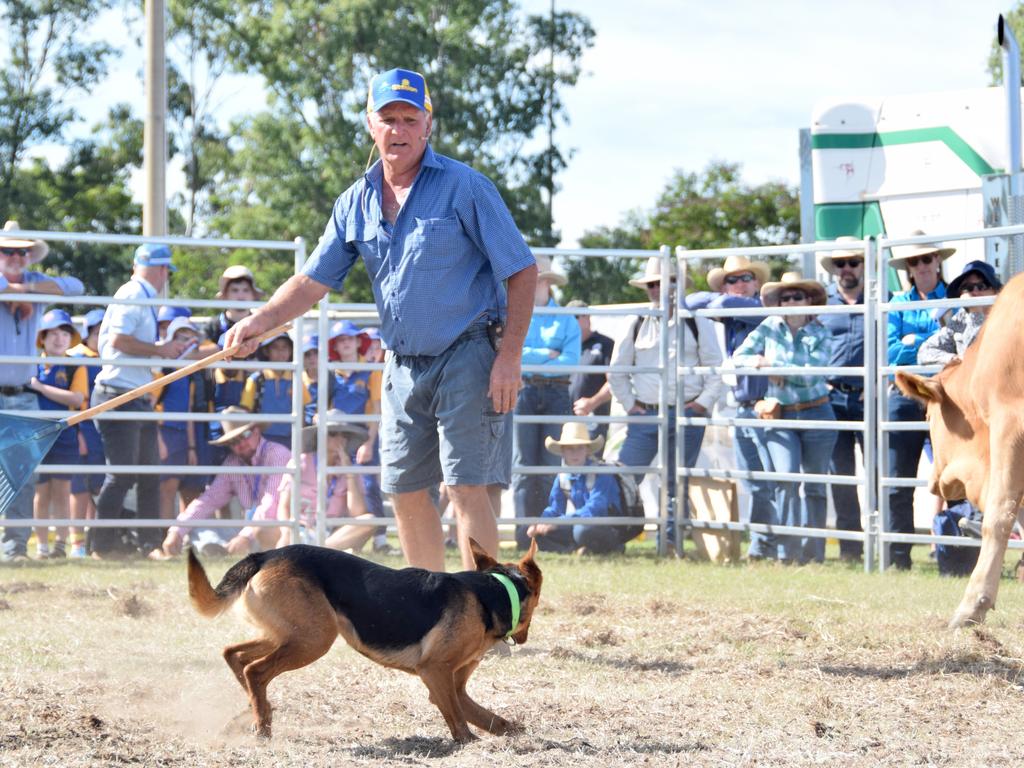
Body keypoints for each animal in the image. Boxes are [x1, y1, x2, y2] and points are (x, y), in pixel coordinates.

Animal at [191, 536, 544, 741]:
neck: (496, 591)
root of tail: (265, 555)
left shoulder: (452, 683)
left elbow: (481, 715)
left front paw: (509, 730)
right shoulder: (436, 672)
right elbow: (459, 721)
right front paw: (469, 745)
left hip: (288, 634)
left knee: (235, 656)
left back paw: (254, 712)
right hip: (313, 639)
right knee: (256, 671)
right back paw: (262, 724)